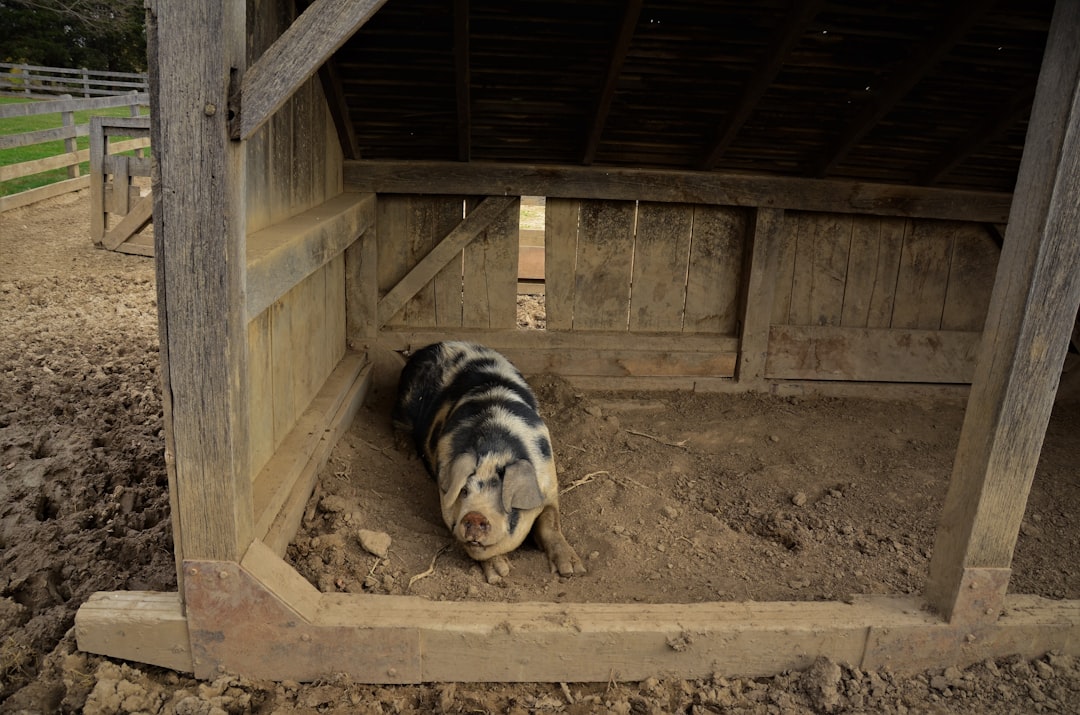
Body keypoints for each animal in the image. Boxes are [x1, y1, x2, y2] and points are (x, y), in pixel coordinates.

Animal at [392, 341, 585, 583]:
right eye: (464, 491)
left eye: (504, 497)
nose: (475, 516)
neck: (495, 451)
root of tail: (433, 346)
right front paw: (500, 575)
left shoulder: (549, 485)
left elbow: (551, 522)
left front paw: (572, 571)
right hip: (405, 400)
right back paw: (406, 452)